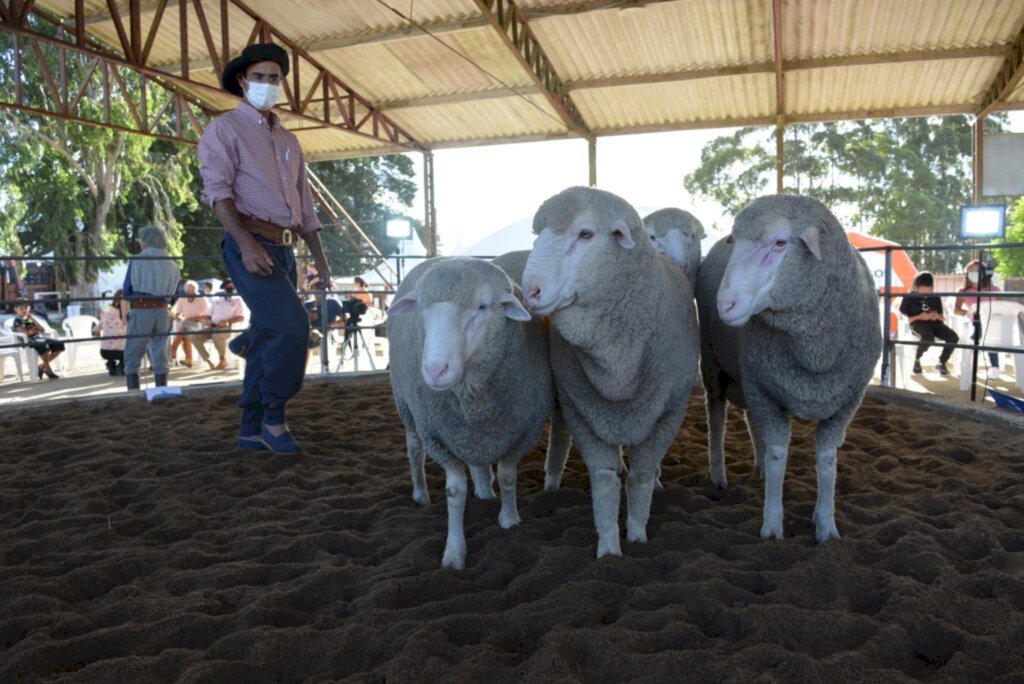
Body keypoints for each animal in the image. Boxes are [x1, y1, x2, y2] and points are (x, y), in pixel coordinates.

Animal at [387, 254, 557, 565]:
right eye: (422, 309)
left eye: (483, 307)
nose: (435, 370)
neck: (474, 395)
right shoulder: (438, 438)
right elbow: (455, 492)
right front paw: (454, 553)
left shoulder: (520, 433)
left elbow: (507, 477)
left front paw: (510, 520)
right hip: (407, 407)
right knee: (414, 449)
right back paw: (421, 494)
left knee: (478, 462)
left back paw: (484, 491)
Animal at [524, 185, 700, 557]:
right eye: (538, 235)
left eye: (586, 234)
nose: (530, 291)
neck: (617, 369)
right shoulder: (583, 411)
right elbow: (604, 480)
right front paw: (608, 550)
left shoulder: (668, 414)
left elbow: (640, 477)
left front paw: (637, 536)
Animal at [700, 194, 884, 540]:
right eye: (736, 241)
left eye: (780, 243)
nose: (724, 305)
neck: (814, 355)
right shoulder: (764, 391)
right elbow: (778, 455)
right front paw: (772, 525)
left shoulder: (846, 402)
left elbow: (827, 460)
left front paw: (826, 526)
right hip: (713, 365)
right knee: (716, 418)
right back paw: (718, 474)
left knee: (750, 419)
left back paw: (757, 467)